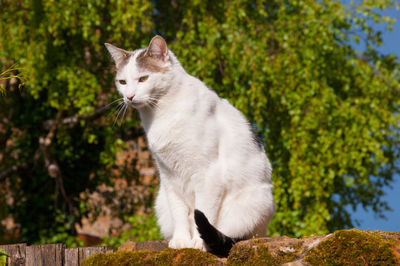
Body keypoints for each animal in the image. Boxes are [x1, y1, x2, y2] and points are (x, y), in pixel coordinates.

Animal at [105, 35, 276, 256]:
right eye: (122, 82)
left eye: (143, 79)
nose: (130, 97)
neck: (161, 113)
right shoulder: (169, 176)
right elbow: (179, 212)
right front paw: (180, 240)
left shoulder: (208, 175)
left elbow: (203, 211)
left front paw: (197, 243)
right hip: (161, 202)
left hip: (254, 205)